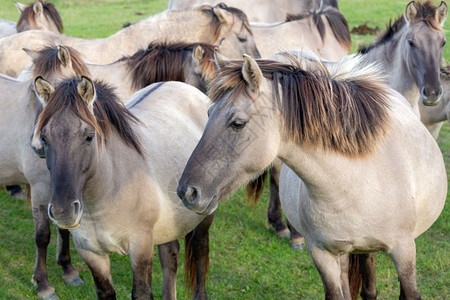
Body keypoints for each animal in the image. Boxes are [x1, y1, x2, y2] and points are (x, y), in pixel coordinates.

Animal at [31, 78, 211, 300]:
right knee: (170, 256)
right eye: (45, 138)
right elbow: (106, 292)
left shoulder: (141, 247)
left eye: (89, 137)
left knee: (200, 248)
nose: (63, 211)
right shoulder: (91, 253)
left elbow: (141, 293)